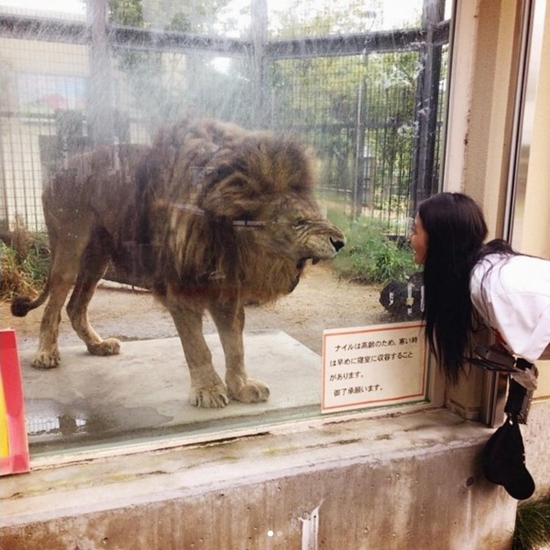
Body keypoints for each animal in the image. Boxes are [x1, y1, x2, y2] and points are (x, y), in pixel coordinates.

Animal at [11, 119, 346, 408]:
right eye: (299, 222)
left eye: (318, 214)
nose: (340, 242)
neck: (231, 241)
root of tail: (56, 172)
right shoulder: (181, 288)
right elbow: (198, 347)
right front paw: (208, 391)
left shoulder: (227, 290)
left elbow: (235, 346)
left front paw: (241, 387)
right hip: (70, 246)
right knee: (53, 307)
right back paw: (45, 354)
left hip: (98, 258)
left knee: (75, 306)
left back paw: (98, 346)